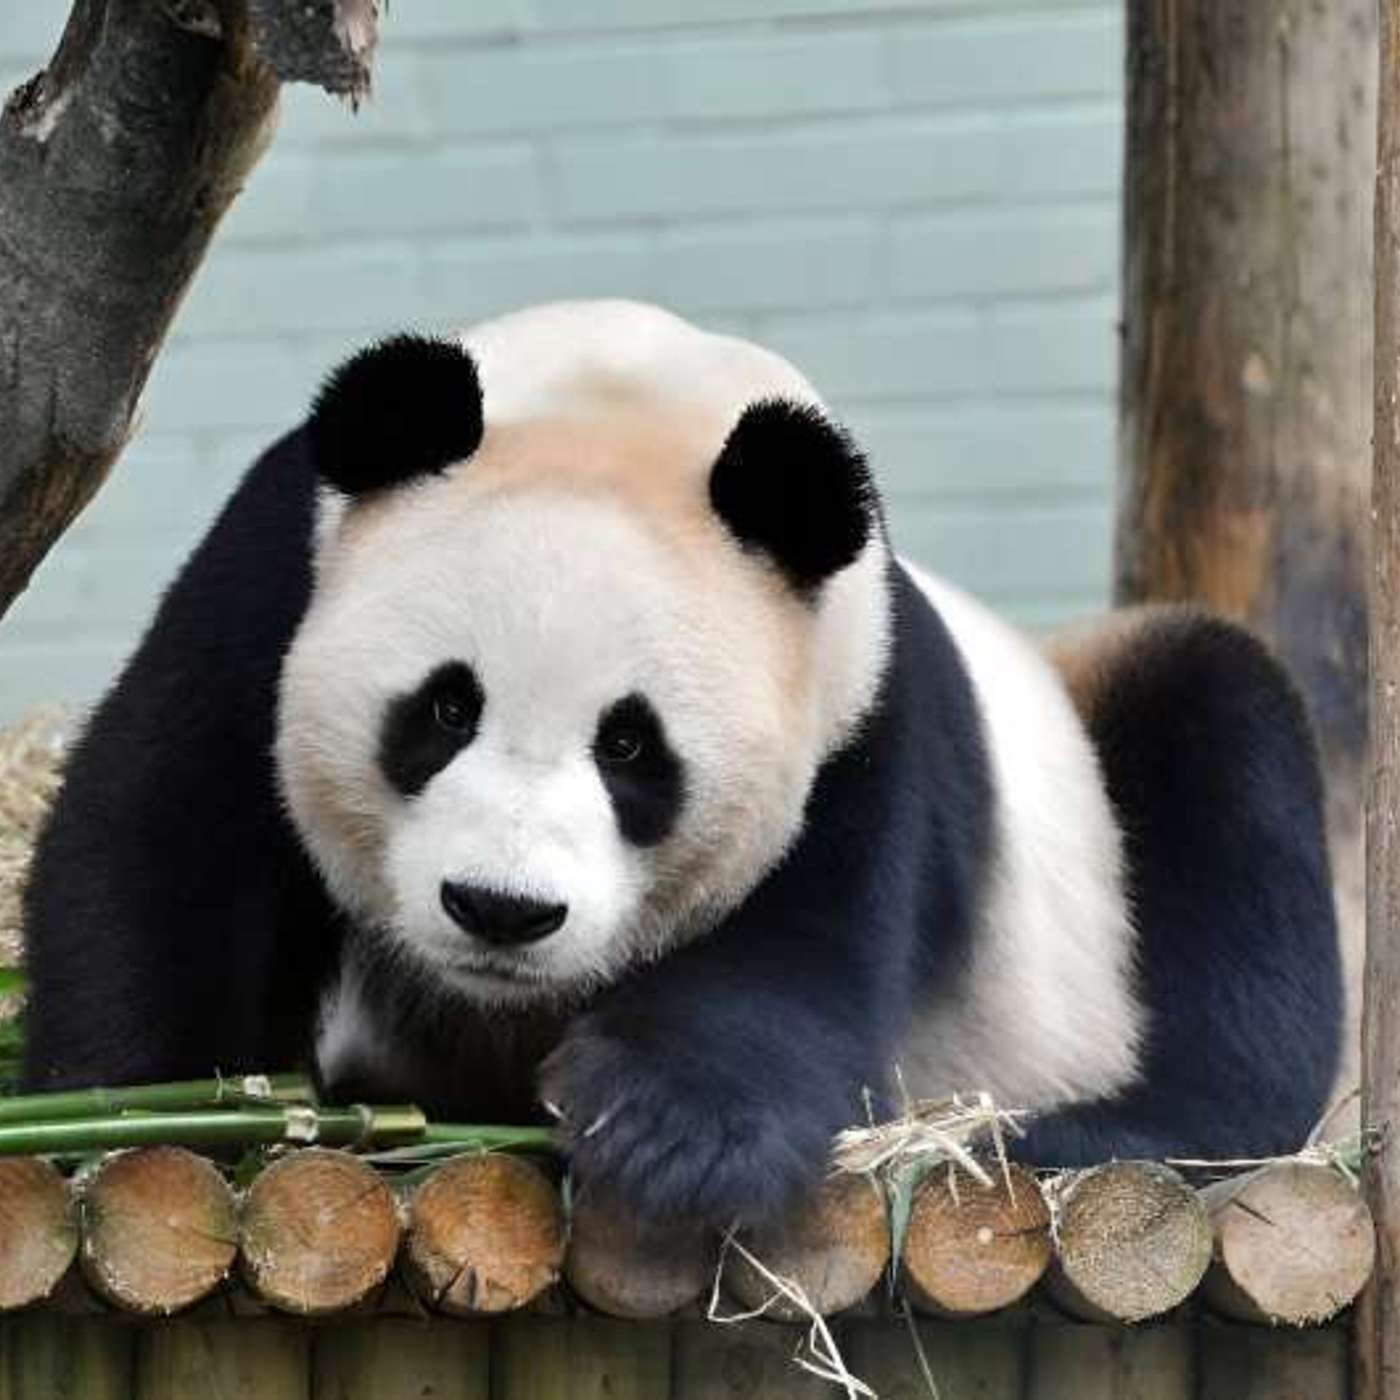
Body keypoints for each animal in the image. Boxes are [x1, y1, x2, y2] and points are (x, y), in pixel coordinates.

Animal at [22, 301, 1341, 1226]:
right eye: (442, 707)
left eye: (630, 746)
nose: (498, 909)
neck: (633, 397)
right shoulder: (273, 578)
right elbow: (164, 842)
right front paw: (127, 1112)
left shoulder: (858, 702)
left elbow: (804, 942)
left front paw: (665, 1132)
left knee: (1226, 765)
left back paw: (1088, 1132)